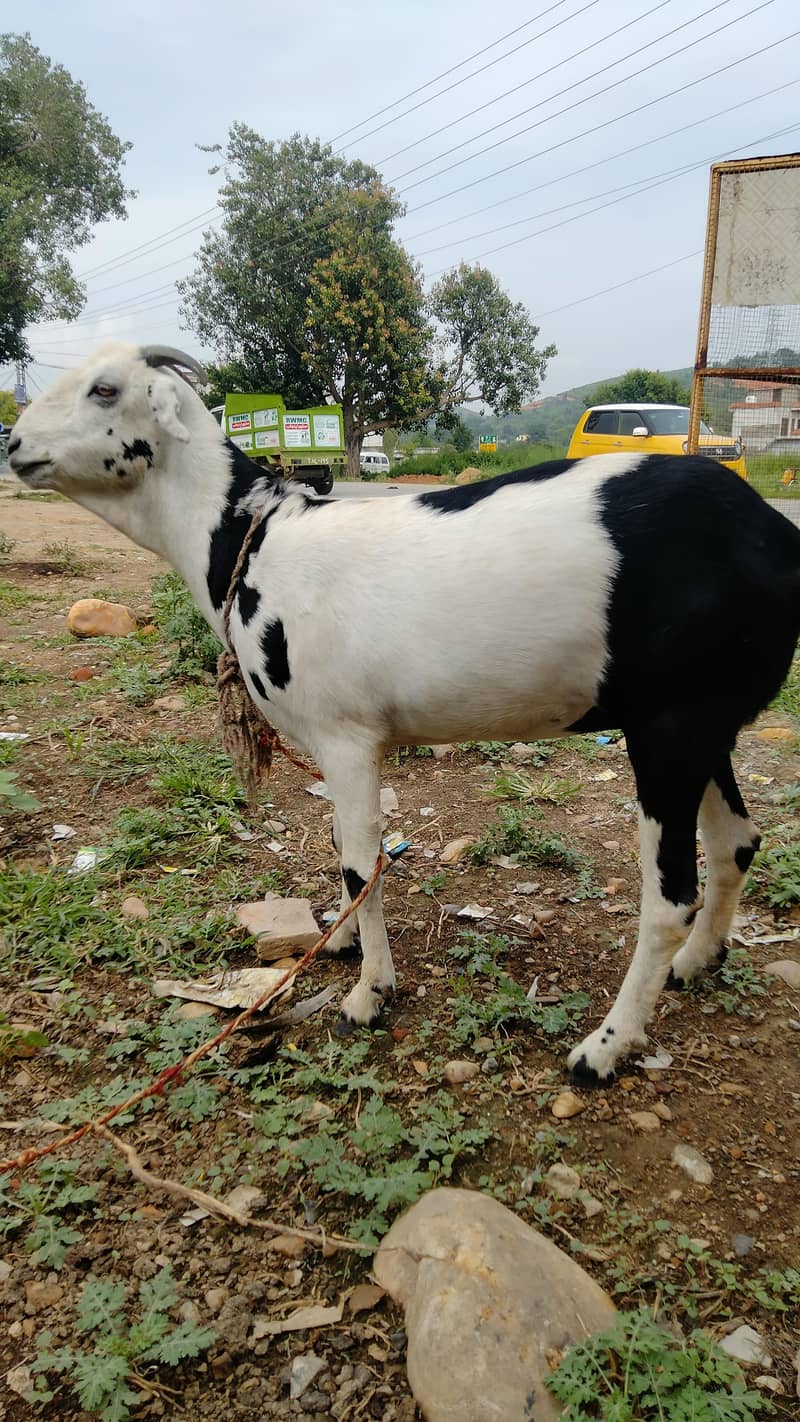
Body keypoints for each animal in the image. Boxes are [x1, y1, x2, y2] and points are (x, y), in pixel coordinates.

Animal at [9, 342, 800, 1085]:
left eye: (104, 389)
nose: (13, 444)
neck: (254, 537)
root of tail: (776, 538)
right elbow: (342, 848)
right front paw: (342, 943)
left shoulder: (346, 736)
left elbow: (362, 863)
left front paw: (370, 993)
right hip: (705, 721)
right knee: (737, 842)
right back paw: (697, 962)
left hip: (671, 726)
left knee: (670, 898)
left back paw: (605, 1048)